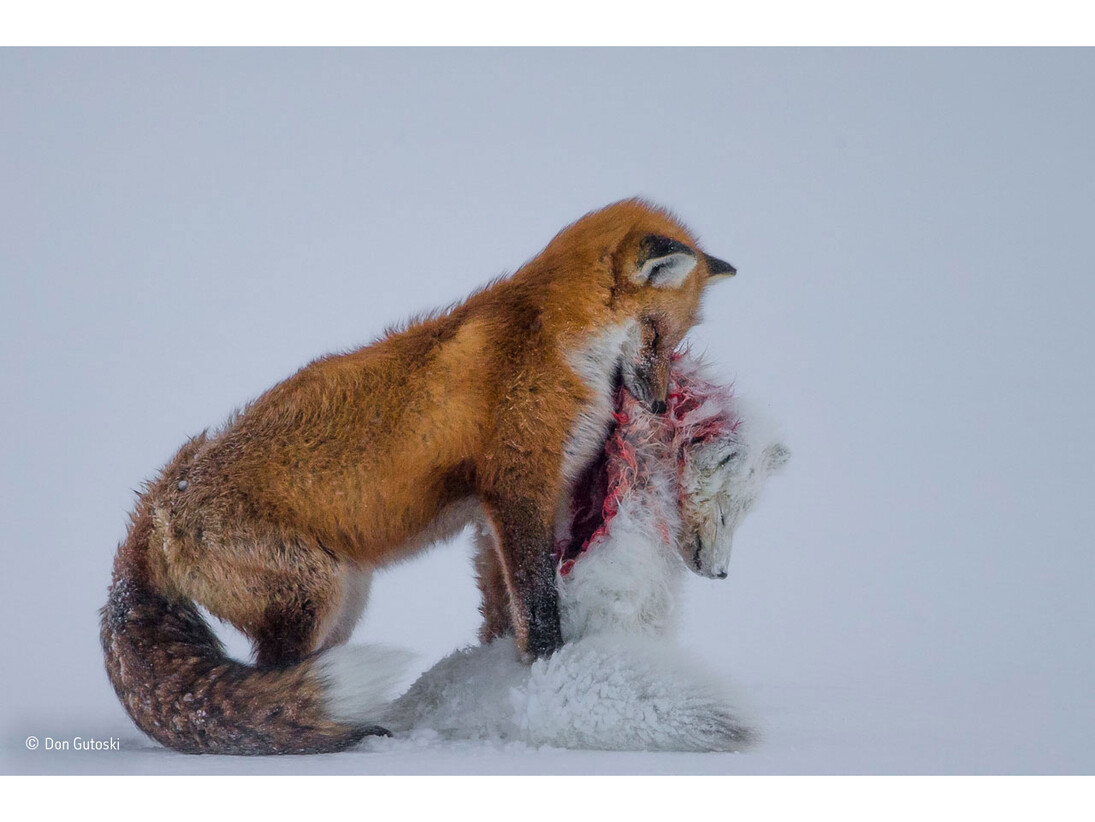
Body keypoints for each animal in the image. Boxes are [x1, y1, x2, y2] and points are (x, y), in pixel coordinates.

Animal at [100, 198, 737, 755]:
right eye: (655, 334)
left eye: (674, 342)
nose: (659, 406)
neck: (556, 341)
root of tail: (156, 507)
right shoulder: (518, 488)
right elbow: (537, 608)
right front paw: (548, 675)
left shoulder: (495, 515)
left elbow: (503, 612)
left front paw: (503, 680)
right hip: (316, 593)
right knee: (273, 691)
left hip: (344, 602)